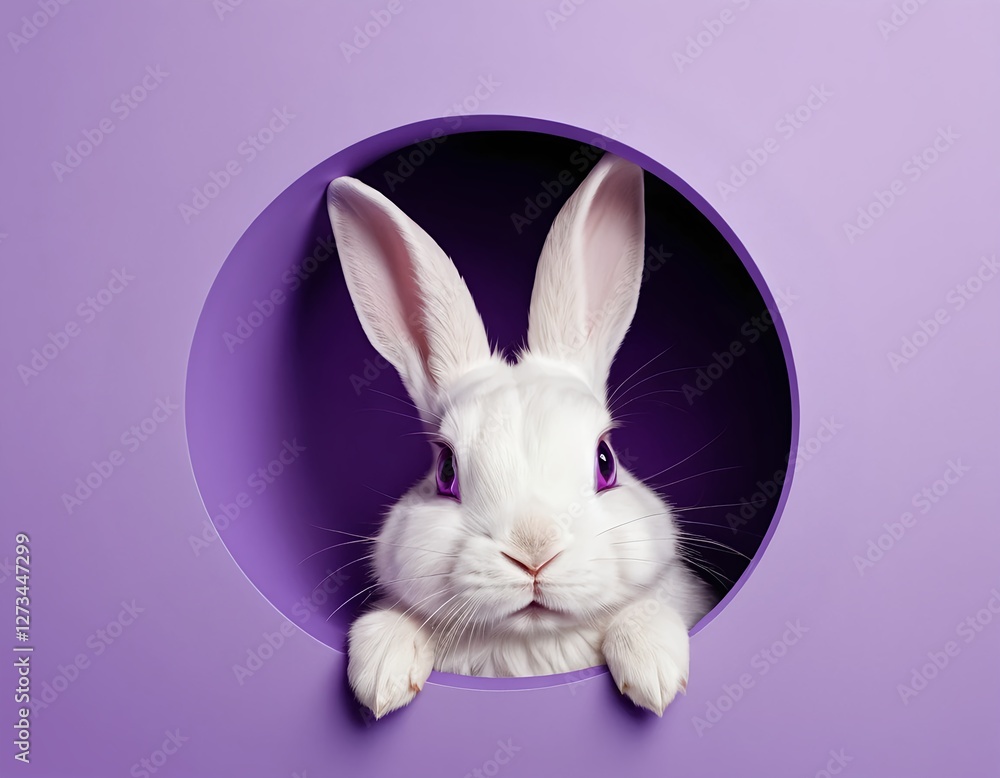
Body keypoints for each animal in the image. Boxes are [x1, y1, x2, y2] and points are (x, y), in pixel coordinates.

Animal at [326, 152, 717, 720]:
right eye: (446, 471)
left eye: (606, 461)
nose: (534, 553)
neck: (530, 642)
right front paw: (382, 675)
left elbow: (644, 612)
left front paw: (653, 669)